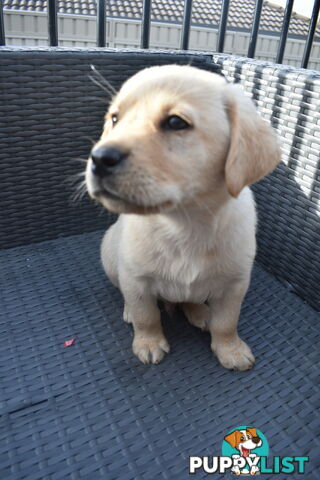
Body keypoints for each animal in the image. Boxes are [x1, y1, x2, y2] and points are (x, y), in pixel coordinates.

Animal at [85, 64, 280, 372]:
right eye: (115, 119)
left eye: (176, 122)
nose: (99, 158)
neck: (184, 224)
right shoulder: (136, 278)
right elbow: (146, 315)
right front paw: (148, 343)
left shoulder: (235, 283)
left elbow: (227, 322)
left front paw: (231, 349)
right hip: (110, 256)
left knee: (192, 301)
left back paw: (200, 312)